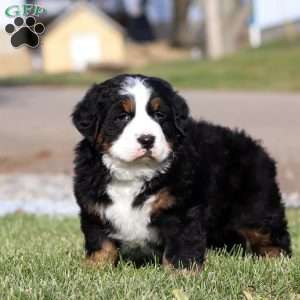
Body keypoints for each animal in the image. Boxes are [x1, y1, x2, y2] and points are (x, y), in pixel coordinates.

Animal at [71, 74, 292, 270]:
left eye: (159, 115)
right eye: (122, 117)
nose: (147, 139)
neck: (135, 171)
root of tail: (255, 145)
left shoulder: (181, 207)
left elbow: (181, 245)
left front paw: (183, 274)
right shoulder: (94, 209)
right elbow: (101, 244)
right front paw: (94, 268)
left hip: (257, 206)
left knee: (271, 235)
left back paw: (275, 261)